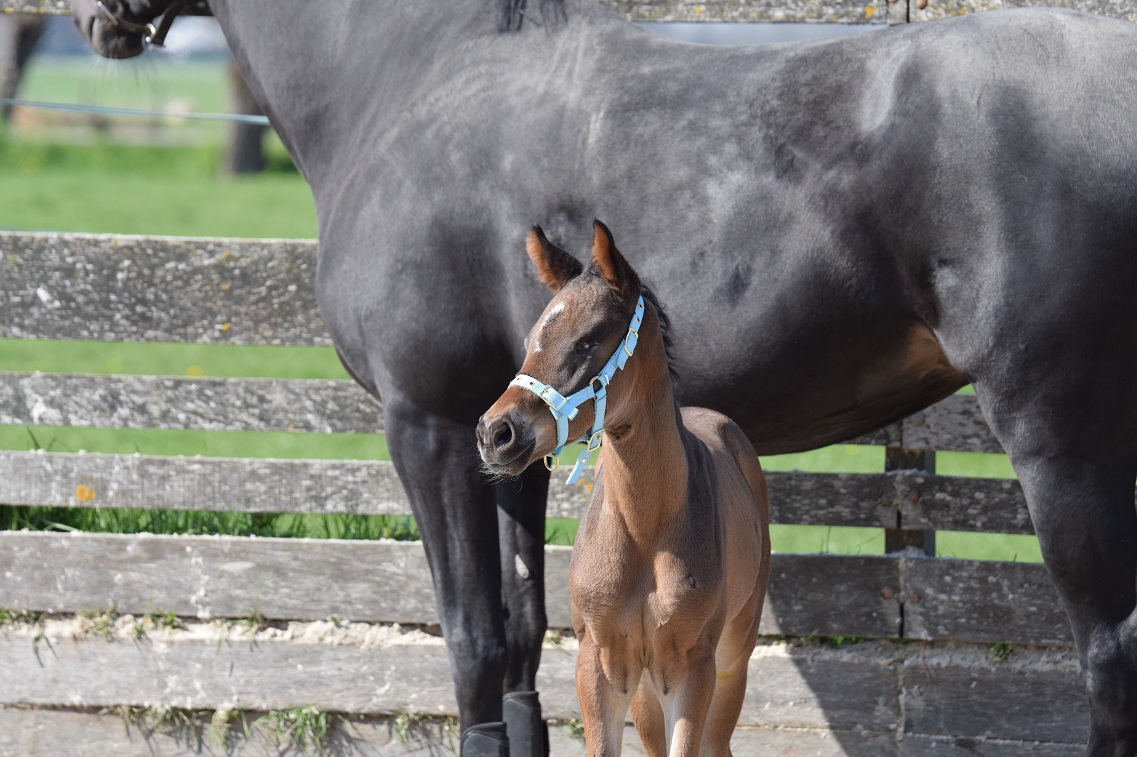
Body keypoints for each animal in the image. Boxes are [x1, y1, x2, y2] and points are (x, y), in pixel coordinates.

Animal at [475, 221, 768, 750]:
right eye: (530, 339)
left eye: (588, 341)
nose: (495, 433)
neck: (643, 529)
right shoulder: (600, 663)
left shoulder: (694, 667)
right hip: (646, 686)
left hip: (733, 656)